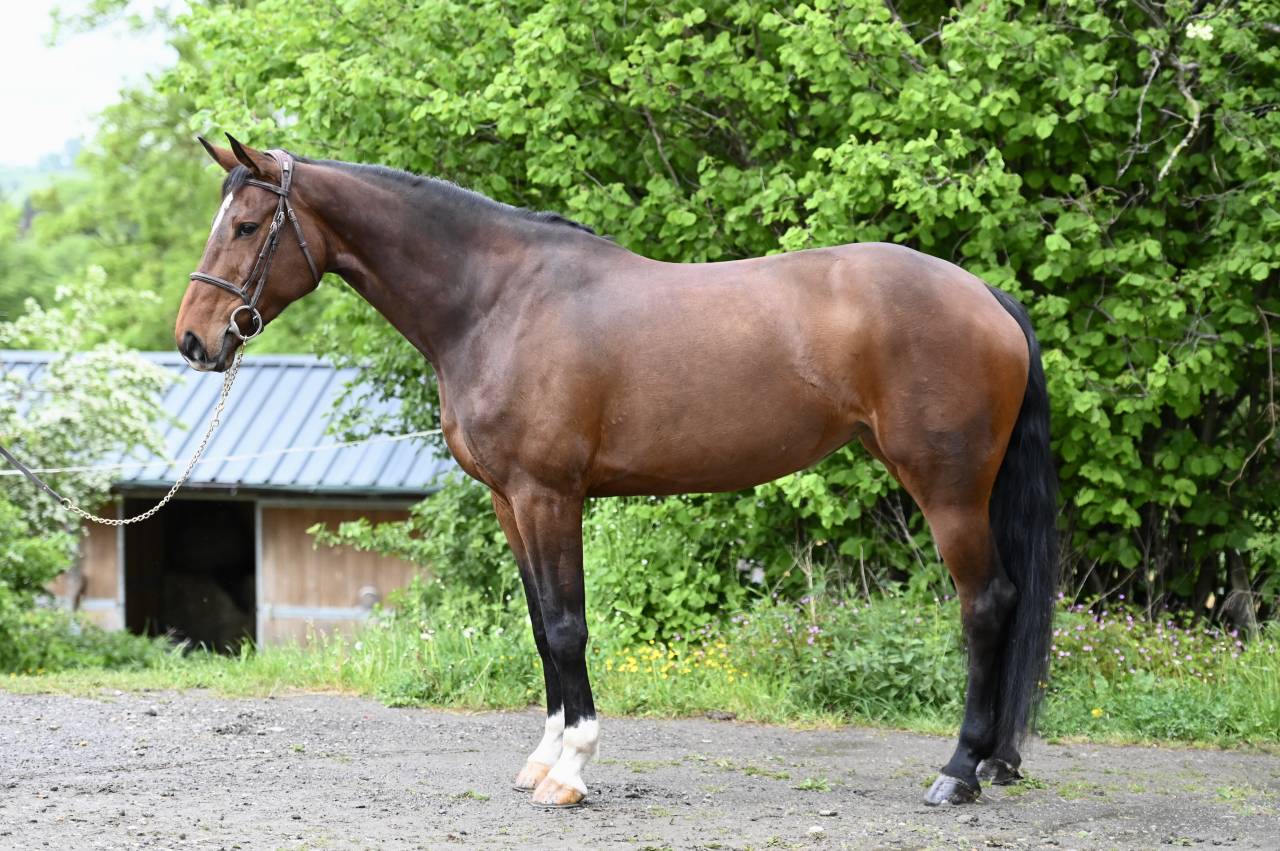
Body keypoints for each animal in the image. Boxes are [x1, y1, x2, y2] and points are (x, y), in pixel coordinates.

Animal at [176, 136, 1058, 808]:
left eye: (248, 224)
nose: (194, 340)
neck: (495, 302)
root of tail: (985, 294)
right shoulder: (508, 501)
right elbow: (542, 627)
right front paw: (543, 757)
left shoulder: (549, 495)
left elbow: (569, 625)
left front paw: (570, 772)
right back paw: (993, 762)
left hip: (948, 489)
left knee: (987, 604)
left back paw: (958, 771)